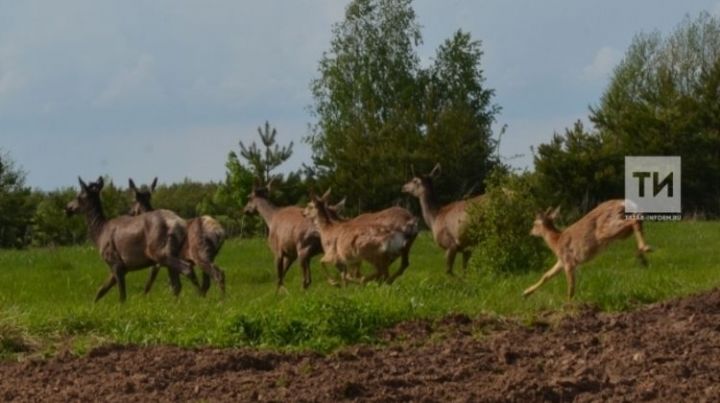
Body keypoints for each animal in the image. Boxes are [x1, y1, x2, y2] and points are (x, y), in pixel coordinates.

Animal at [64, 177, 200, 304]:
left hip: (159, 252)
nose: (68, 207)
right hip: (170, 254)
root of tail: (180, 224)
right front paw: (92, 307)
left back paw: (201, 297)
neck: (99, 234)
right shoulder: (120, 267)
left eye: (78, 196)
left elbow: (122, 296)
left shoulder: (116, 262)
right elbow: (100, 291)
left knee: (186, 269)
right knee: (176, 284)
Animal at [524, 200, 652, 300]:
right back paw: (642, 258)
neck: (556, 241)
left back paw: (645, 249)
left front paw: (568, 302)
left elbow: (571, 285)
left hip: (606, 228)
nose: (530, 232)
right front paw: (526, 292)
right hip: (621, 233)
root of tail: (623, 203)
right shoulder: (561, 261)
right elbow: (546, 275)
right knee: (637, 221)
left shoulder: (568, 260)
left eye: (534, 224)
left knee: (635, 220)